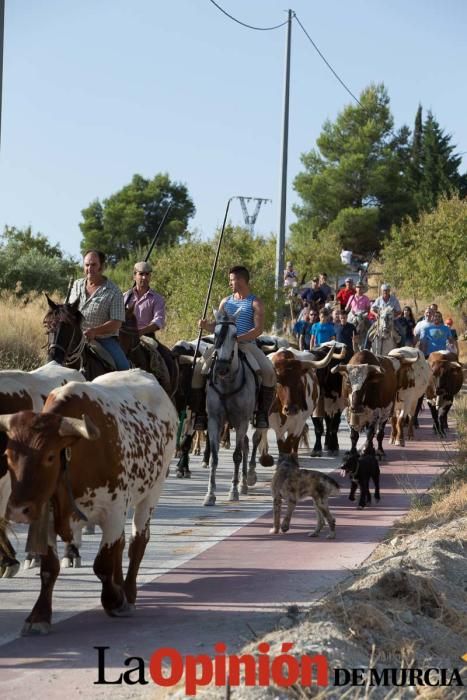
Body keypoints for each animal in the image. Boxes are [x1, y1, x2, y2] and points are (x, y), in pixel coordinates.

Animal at [0, 370, 177, 636]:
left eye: (50, 456)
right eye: (9, 456)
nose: (18, 510)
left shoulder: (113, 511)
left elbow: (102, 564)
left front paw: (115, 601)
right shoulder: (48, 514)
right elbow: (49, 568)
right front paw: (39, 615)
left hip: (152, 492)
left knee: (138, 541)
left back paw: (129, 592)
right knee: (122, 544)